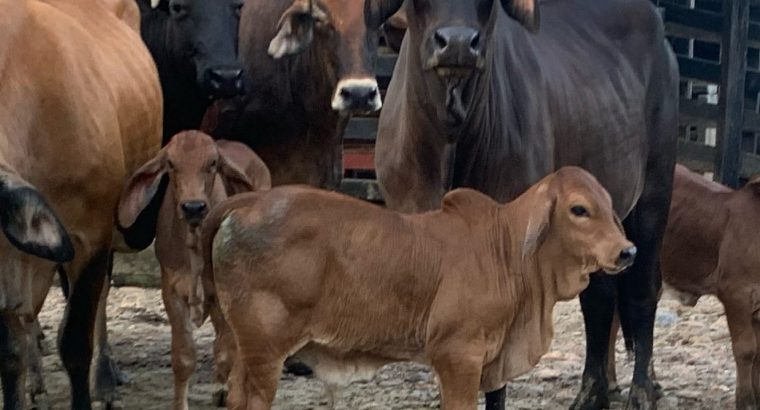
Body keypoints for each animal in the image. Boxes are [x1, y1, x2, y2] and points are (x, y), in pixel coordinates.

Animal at [116, 131, 271, 410]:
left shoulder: (223, 292)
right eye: (171, 163)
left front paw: (227, 391)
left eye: (212, 163)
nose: (193, 207)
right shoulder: (172, 291)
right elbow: (183, 357)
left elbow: (225, 350)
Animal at [199, 166, 636, 410]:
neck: (507, 251)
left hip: (242, 344)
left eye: (608, 204)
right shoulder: (458, 355)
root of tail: (246, 203)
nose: (627, 250)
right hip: (266, 349)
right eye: (579, 209)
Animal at [372, 0, 678, 408]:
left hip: (654, 191)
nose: (457, 43)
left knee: (643, 288)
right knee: (599, 298)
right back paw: (592, 392)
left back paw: (642, 390)